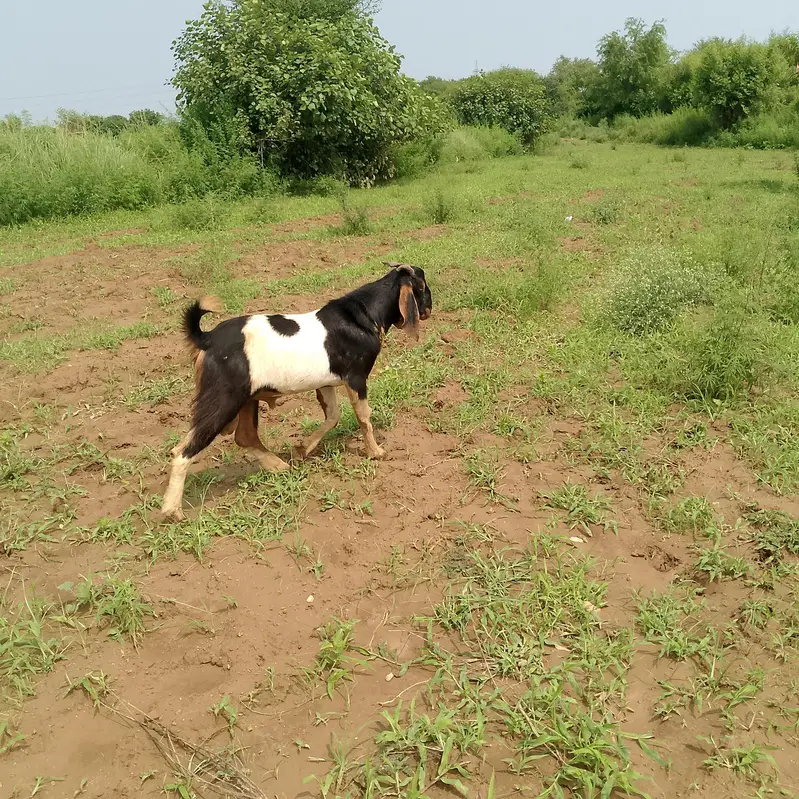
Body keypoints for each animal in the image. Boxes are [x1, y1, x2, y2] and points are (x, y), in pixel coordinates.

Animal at [161, 263, 433, 521]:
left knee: (244, 436)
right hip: (224, 398)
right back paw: (172, 510)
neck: (363, 315)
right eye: (422, 286)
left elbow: (333, 416)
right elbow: (363, 416)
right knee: (185, 449)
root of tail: (206, 339)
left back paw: (279, 466)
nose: (430, 308)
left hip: (246, 399)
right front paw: (376, 452)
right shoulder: (355, 378)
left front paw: (303, 448)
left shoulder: (326, 383)